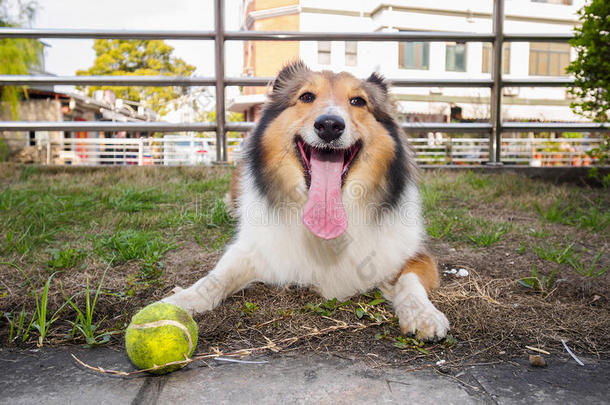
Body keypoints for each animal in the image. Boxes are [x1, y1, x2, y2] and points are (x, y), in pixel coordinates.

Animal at [164, 59, 448, 338]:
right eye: (307, 96)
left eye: (358, 101)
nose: (330, 125)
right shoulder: (252, 247)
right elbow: (217, 276)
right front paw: (181, 301)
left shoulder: (413, 253)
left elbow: (410, 281)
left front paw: (424, 315)